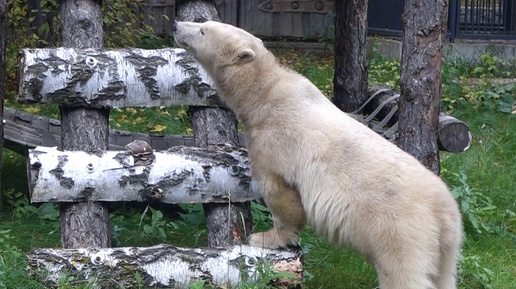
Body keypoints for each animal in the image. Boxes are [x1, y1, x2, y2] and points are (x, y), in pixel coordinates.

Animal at [173, 20, 464, 288]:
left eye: (203, 30)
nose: (177, 25)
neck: (264, 92)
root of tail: (445, 212)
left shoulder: (275, 139)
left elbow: (280, 193)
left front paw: (265, 237)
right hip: (446, 248)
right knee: (444, 276)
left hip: (401, 230)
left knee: (403, 274)